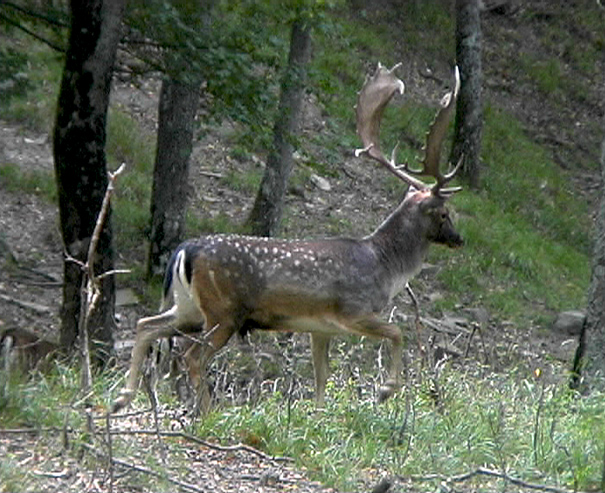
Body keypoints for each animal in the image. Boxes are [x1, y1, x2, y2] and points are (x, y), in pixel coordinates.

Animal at [112, 63, 462, 414]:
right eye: (444, 213)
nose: (459, 239)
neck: (385, 268)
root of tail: (184, 250)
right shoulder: (353, 309)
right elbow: (397, 331)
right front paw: (387, 390)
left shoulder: (320, 327)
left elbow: (321, 377)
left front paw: (320, 415)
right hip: (223, 311)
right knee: (191, 356)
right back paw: (207, 412)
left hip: (189, 307)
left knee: (146, 325)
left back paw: (123, 397)